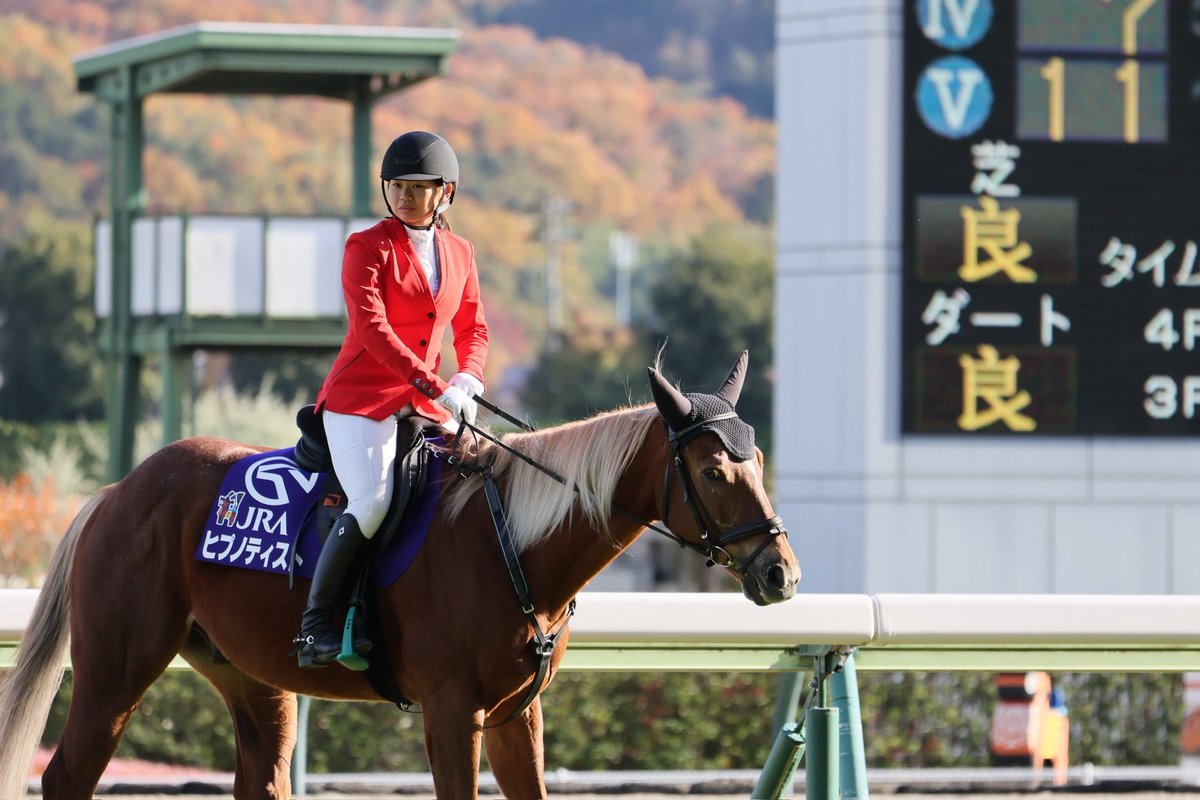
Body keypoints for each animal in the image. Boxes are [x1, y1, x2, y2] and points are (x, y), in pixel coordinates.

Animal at [0, 352, 800, 800]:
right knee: (66, 777)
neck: (512, 540)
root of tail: (119, 490)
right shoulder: (452, 715)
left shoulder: (517, 716)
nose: (780, 573)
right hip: (115, 672)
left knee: (261, 779)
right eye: (711, 470)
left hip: (254, 683)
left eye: (757, 460)